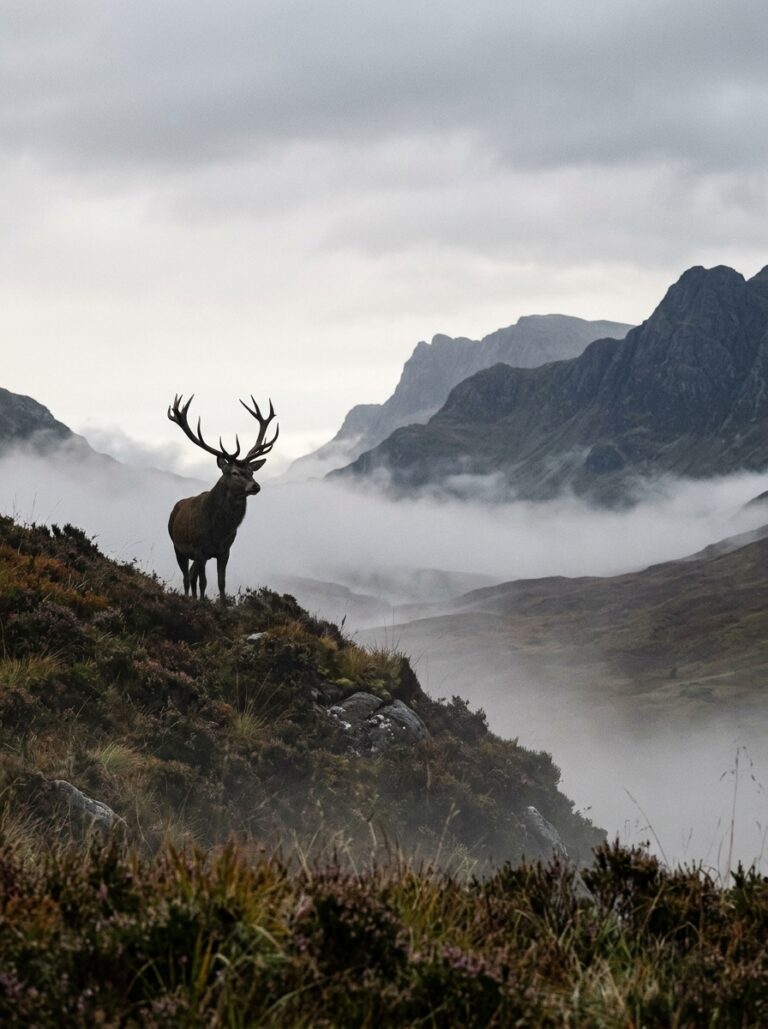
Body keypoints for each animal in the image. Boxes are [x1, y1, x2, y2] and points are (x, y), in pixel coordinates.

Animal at [167, 393, 278, 602]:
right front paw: (202, 603)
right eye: (234, 472)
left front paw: (222, 604)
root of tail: (175, 508)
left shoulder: (225, 551)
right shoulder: (199, 550)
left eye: (251, 471)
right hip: (177, 547)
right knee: (187, 578)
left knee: (192, 576)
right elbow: (203, 583)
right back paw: (188, 598)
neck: (218, 530)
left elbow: (221, 583)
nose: (256, 486)